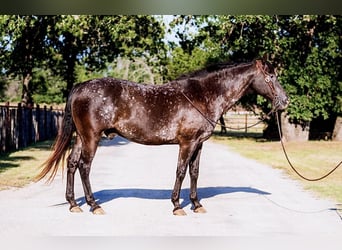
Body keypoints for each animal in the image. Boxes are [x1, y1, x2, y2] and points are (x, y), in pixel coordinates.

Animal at [36, 58, 288, 215]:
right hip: (91, 137)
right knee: (84, 166)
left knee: (71, 164)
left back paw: (73, 204)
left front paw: (196, 204)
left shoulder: (198, 144)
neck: (203, 95)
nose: (285, 101)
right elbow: (181, 171)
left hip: (81, 137)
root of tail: (80, 87)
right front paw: (177, 206)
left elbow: (194, 173)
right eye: (271, 76)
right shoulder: (187, 143)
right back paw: (94, 205)